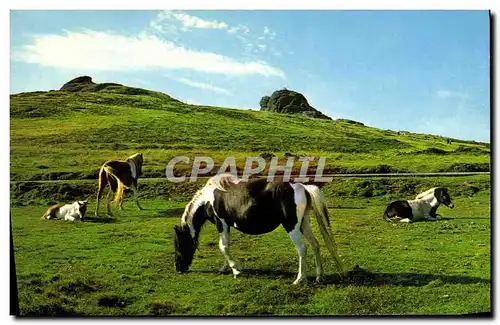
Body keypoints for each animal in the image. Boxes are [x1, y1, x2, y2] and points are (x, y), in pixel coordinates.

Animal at [173, 173, 344, 282]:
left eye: (178, 246)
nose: (179, 268)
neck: (209, 198)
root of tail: (302, 187)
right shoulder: (227, 226)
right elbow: (226, 246)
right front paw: (226, 267)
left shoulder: (221, 223)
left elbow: (223, 246)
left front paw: (236, 269)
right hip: (304, 224)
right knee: (315, 245)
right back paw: (319, 276)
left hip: (292, 227)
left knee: (302, 249)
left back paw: (300, 279)